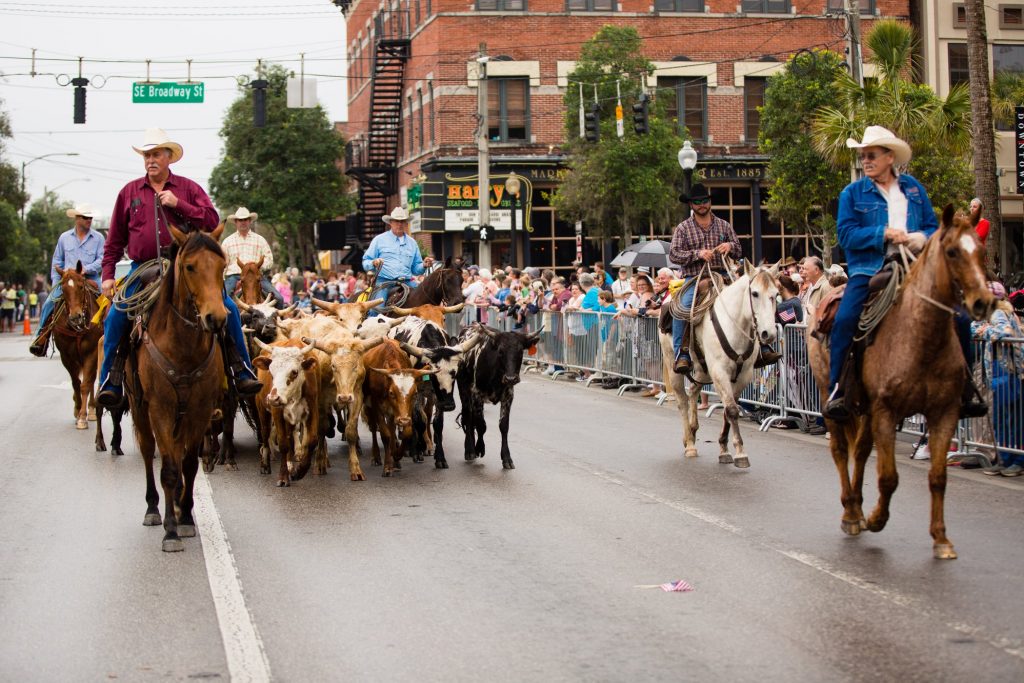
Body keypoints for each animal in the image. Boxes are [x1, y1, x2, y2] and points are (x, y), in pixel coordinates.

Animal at [126, 227, 227, 552]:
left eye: (222, 266)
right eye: (190, 267)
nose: (216, 318)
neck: (183, 346)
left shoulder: (199, 410)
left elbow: (190, 464)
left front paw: (184, 518)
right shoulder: (160, 408)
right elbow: (169, 469)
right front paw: (171, 530)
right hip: (139, 407)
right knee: (149, 451)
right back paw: (153, 508)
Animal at [452, 325, 540, 471]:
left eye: (520, 351)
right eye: (500, 351)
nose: (511, 378)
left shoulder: (508, 396)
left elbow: (504, 426)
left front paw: (507, 458)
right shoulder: (477, 394)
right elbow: (481, 425)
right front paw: (479, 448)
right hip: (464, 389)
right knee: (468, 416)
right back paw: (469, 450)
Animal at [659, 259, 778, 466]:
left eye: (776, 294)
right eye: (754, 293)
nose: (768, 334)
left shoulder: (743, 374)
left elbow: (729, 409)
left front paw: (724, 448)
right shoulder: (720, 372)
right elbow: (731, 409)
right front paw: (740, 453)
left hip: (702, 368)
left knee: (693, 391)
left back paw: (693, 430)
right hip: (672, 364)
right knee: (682, 400)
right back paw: (689, 444)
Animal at [806, 206, 991, 561]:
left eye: (981, 251)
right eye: (952, 251)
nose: (982, 302)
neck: (920, 337)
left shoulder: (944, 413)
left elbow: (938, 476)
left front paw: (941, 538)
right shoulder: (887, 411)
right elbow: (889, 477)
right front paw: (878, 518)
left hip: (862, 407)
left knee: (861, 450)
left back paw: (858, 510)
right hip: (828, 395)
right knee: (840, 450)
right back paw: (851, 513)